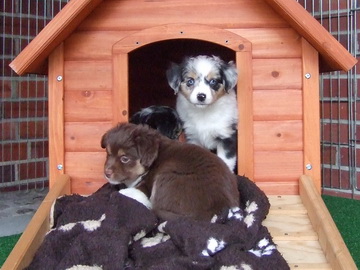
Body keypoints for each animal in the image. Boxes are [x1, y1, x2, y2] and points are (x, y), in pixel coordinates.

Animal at [100, 122, 239, 221]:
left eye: (124, 158)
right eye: (108, 154)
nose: (106, 173)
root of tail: (219, 207)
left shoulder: (145, 187)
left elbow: (127, 193)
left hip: (166, 176)